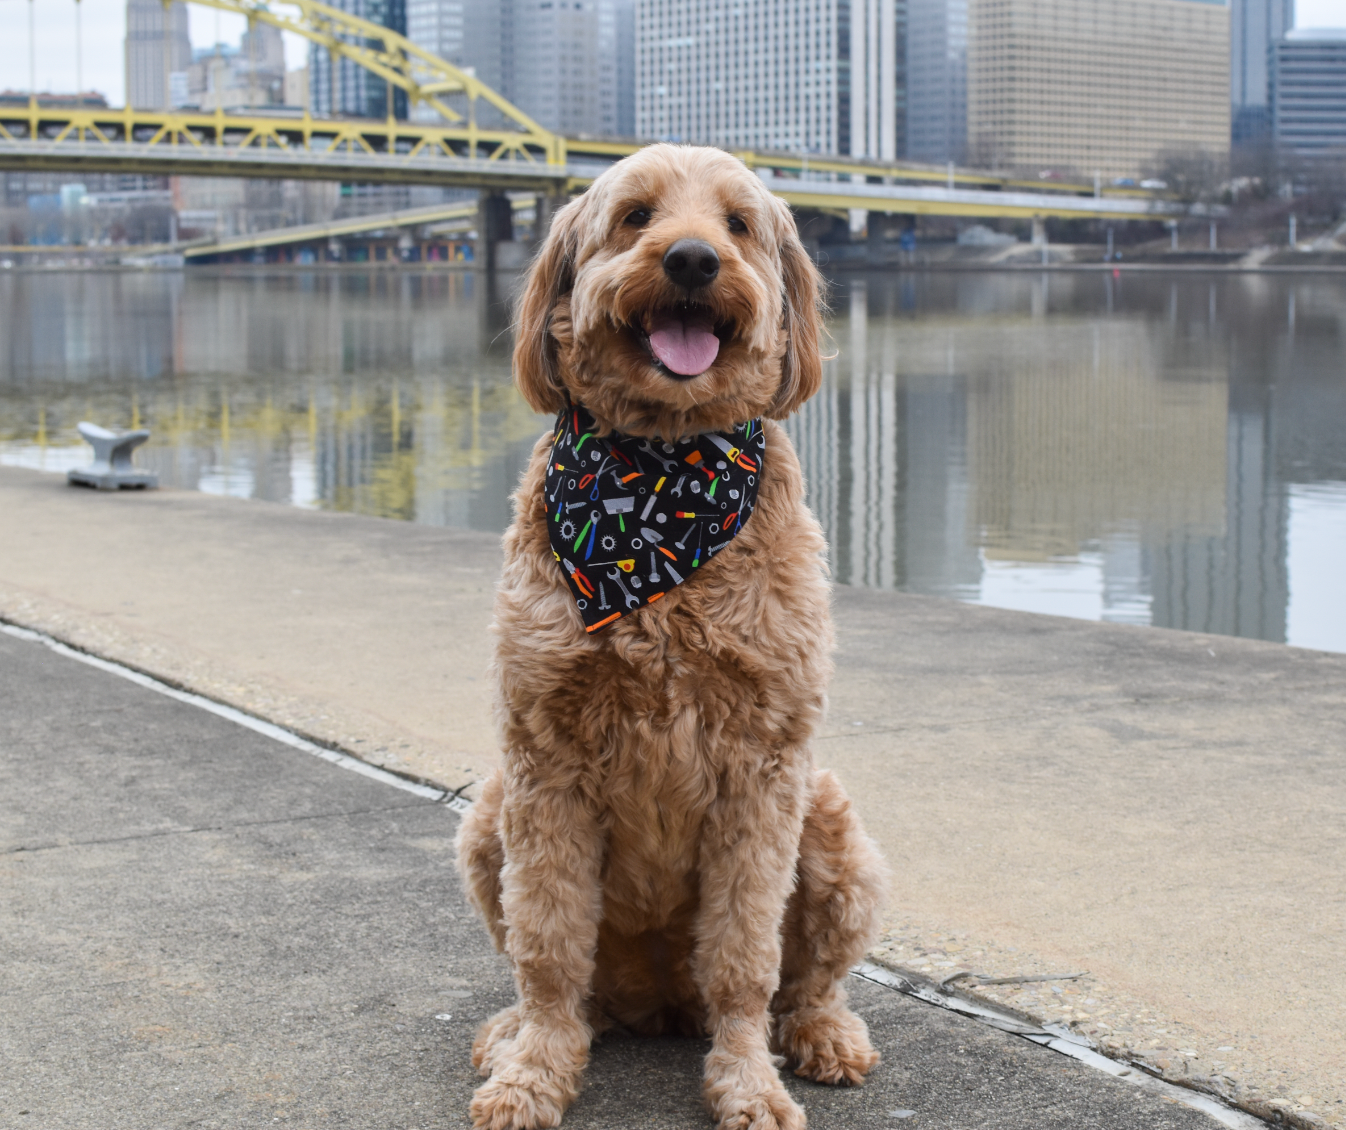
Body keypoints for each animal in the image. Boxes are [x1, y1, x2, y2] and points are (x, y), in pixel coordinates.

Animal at [457, 143, 888, 1130]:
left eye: (738, 224)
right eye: (636, 217)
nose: (692, 260)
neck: (656, 489)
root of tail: (659, 1004)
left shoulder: (763, 771)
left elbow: (745, 959)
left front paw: (748, 1082)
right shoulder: (542, 765)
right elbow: (547, 949)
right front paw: (534, 1073)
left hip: (834, 828)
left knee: (804, 984)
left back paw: (823, 1035)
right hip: (490, 815)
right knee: (576, 988)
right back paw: (521, 1032)